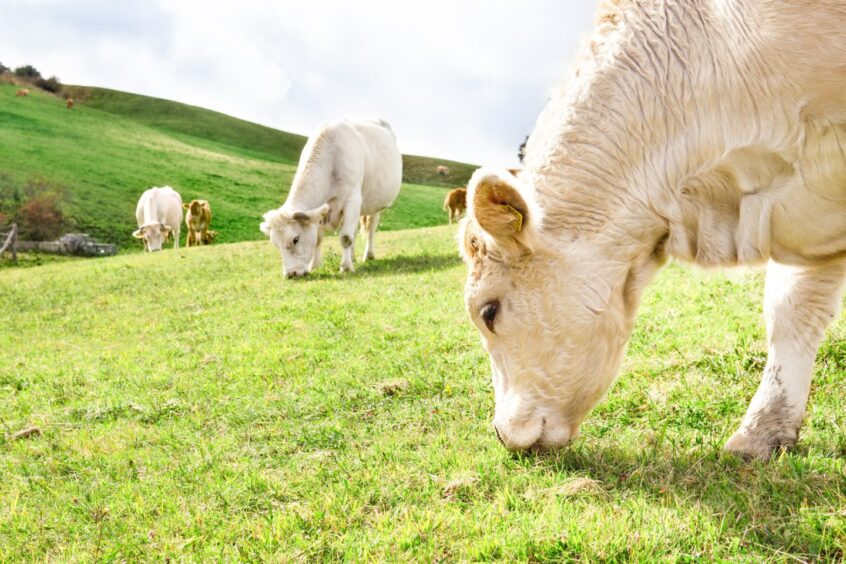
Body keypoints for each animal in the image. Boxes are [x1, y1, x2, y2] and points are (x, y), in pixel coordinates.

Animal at [260, 118, 402, 278]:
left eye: (295, 239)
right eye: (275, 244)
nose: (291, 274)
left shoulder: (352, 199)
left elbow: (346, 238)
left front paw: (346, 267)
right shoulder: (321, 209)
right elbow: (319, 239)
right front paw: (315, 265)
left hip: (375, 203)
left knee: (371, 228)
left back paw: (368, 255)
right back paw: (353, 257)